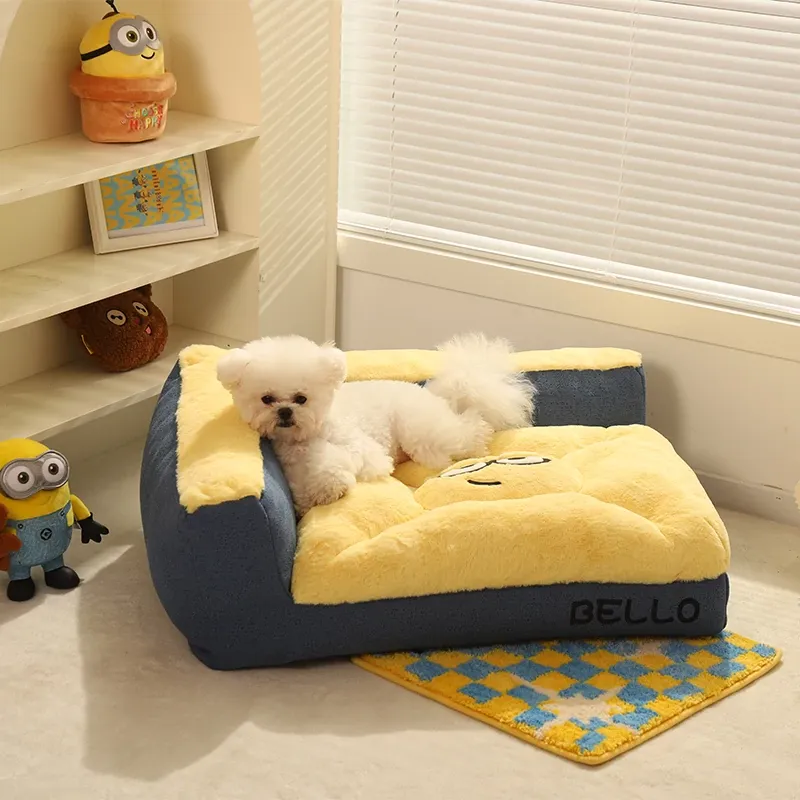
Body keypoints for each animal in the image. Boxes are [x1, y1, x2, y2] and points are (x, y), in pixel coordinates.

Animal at [217, 334, 535, 517]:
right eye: (267, 399)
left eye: (301, 398)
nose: (284, 412)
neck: (306, 437)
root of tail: (436, 395)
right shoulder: (292, 462)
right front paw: (309, 498)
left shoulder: (365, 452)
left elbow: (338, 463)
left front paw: (329, 487)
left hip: (418, 432)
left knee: (466, 432)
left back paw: (477, 438)